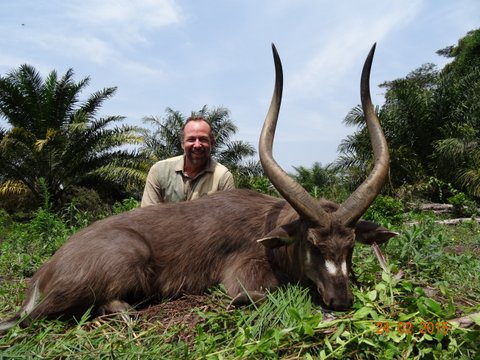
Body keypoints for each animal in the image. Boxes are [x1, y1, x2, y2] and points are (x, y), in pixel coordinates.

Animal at [0, 43, 396, 332]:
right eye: (314, 244)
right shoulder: (243, 275)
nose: (340, 301)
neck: (270, 223)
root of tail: (44, 274)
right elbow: (254, 294)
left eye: (350, 246)